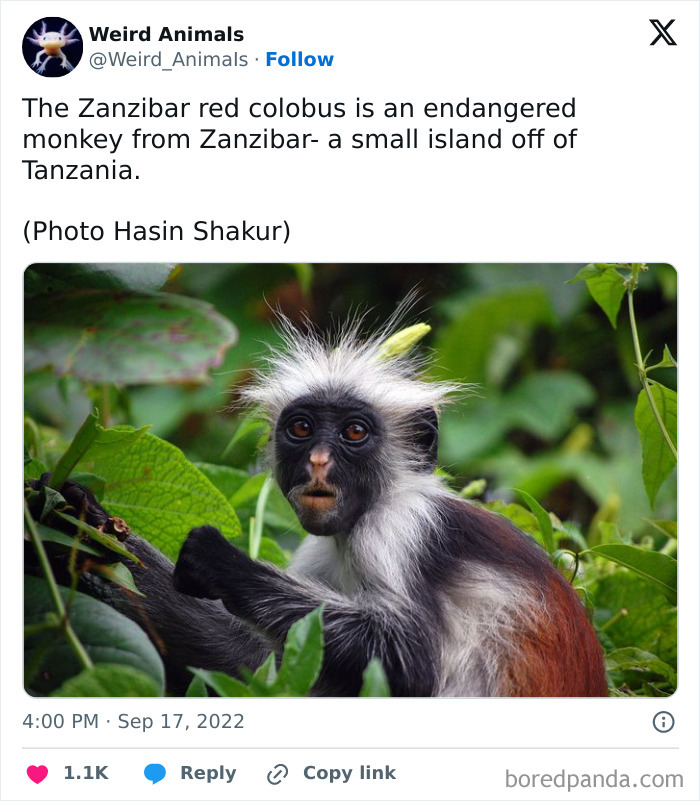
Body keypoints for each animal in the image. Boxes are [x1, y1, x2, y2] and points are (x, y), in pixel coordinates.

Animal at [163, 313, 609, 697]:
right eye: (302, 428)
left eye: (354, 432)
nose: (318, 460)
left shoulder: (399, 526)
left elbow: (411, 660)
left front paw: (217, 561)